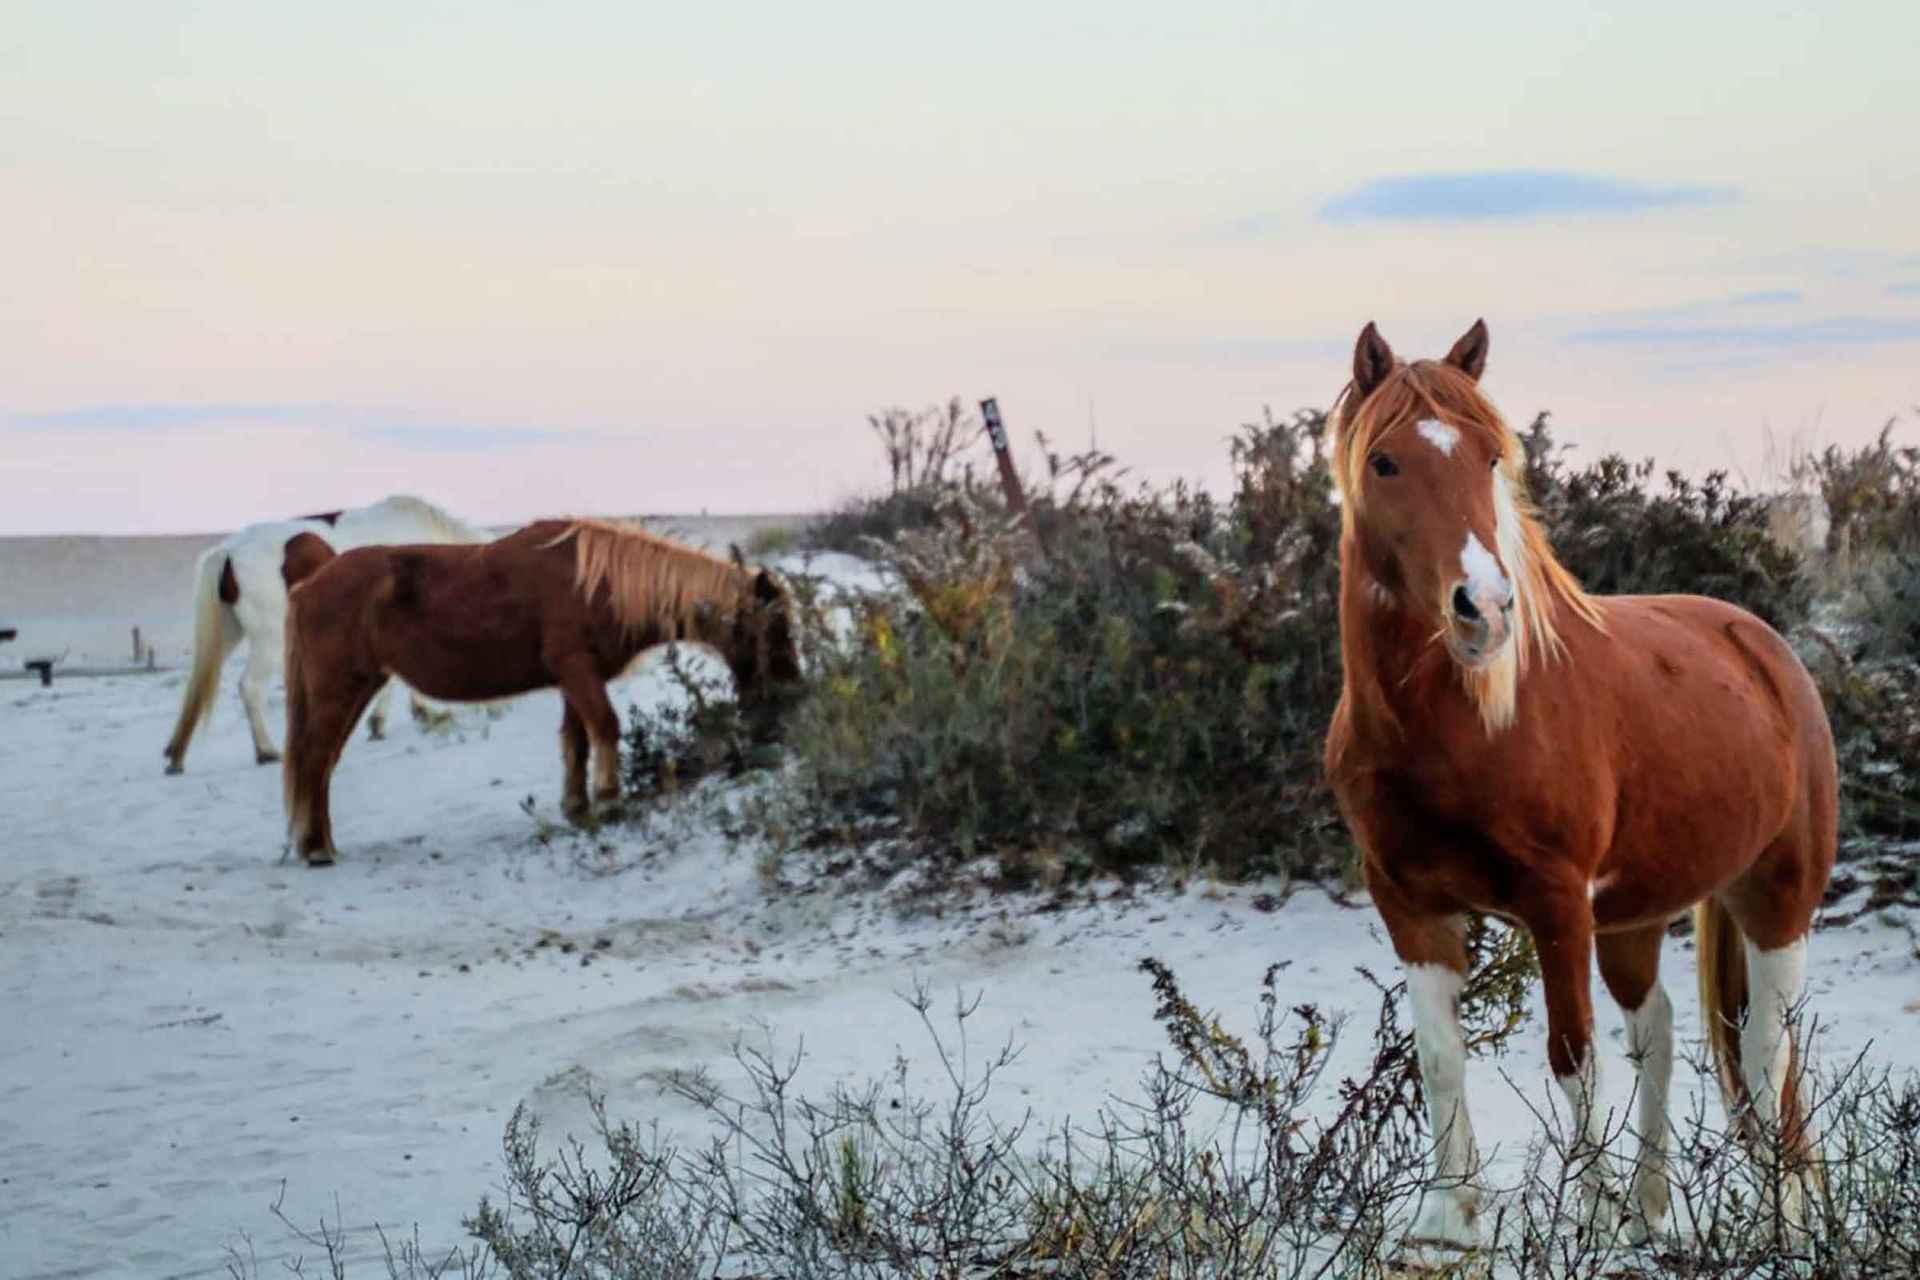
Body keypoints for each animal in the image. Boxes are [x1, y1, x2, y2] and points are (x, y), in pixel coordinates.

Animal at [162, 495, 491, 775]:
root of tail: (229, 552)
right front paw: (402, 717)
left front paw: (405, 716)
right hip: (270, 639)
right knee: (250, 687)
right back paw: (266, 751)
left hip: (231, 633)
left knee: (196, 688)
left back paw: (176, 756)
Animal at [280, 514, 798, 867]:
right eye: (774, 629)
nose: (789, 692)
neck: (598, 583)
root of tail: (308, 585)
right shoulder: (579, 672)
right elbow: (605, 727)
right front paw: (608, 800)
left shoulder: (574, 681)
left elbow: (577, 741)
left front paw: (577, 807)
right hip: (338, 691)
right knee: (313, 760)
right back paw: (315, 848)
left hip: (358, 689)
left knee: (323, 764)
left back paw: (320, 842)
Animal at [1320, 322, 1827, 1251]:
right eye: (1384, 462)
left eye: (1490, 456)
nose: (1483, 608)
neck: (1470, 724)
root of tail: (1763, 647)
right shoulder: (1408, 905)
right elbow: (1439, 1054)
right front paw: (1448, 1218)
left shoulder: (1557, 905)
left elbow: (1571, 1057)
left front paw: (1585, 1218)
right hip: (1634, 918)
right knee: (1660, 1032)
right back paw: (1652, 1206)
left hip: (1777, 899)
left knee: (1766, 1050)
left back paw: (1783, 1218)